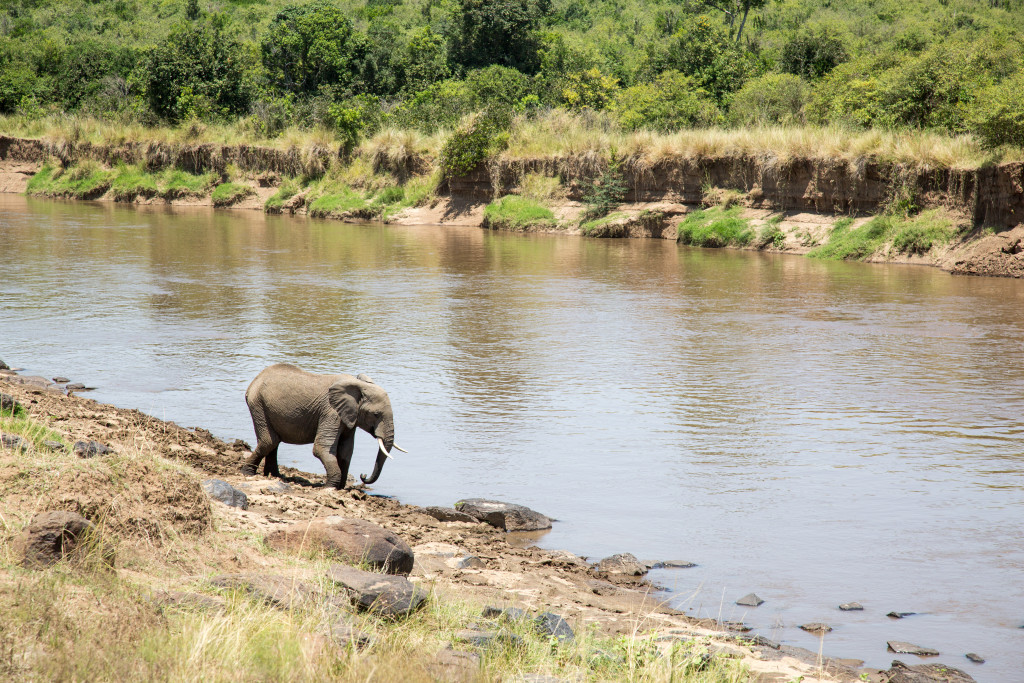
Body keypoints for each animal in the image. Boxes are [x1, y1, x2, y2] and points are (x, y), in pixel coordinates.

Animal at [239, 366, 403, 489]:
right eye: (375, 414)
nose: (363, 476)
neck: (357, 385)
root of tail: (256, 379)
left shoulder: (349, 419)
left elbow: (346, 450)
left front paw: (340, 488)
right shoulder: (331, 412)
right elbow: (322, 447)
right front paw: (330, 487)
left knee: (274, 442)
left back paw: (274, 476)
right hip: (258, 405)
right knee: (269, 441)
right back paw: (248, 473)